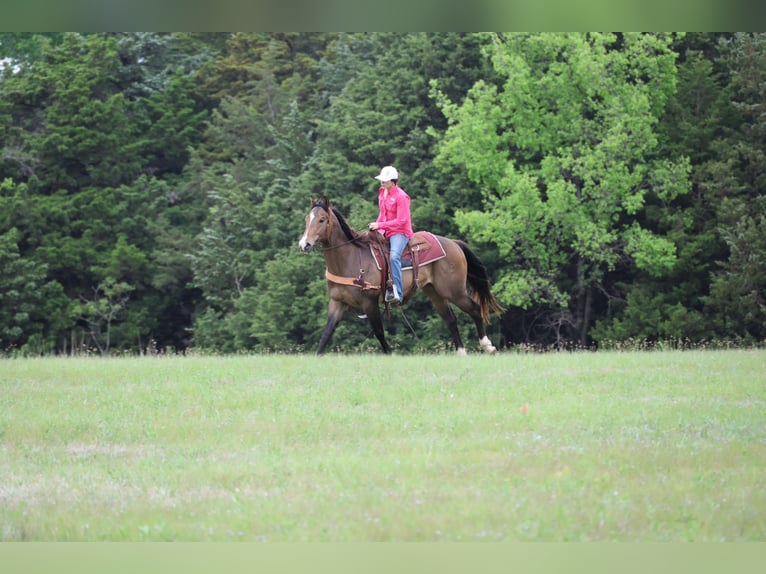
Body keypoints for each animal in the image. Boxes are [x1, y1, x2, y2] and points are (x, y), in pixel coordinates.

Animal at [298, 196, 504, 355]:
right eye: (307, 219)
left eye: (322, 219)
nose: (304, 244)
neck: (350, 259)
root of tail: (454, 243)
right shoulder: (337, 302)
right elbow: (326, 334)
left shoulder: (369, 302)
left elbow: (379, 332)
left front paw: (389, 354)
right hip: (435, 293)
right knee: (451, 319)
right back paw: (461, 353)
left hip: (454, 291)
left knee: (475, 309)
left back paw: (488, 346)